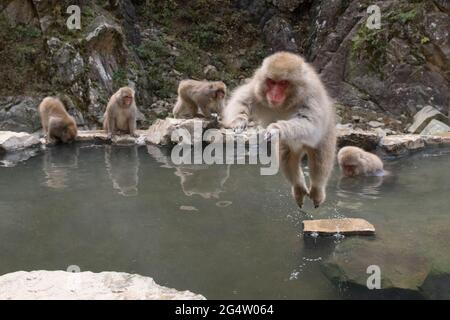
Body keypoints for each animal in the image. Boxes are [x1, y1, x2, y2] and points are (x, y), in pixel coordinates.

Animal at [223, 51, 336, 209]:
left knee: (321, 160)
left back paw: (317, 191)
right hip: (288, 144)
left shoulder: (310, 97)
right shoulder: (258, 89)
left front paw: (277, 128)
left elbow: (310, 124)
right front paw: (239, 120)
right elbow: (242, 100)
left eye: (283, 83)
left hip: (326, 134)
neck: (286, 103)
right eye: (271, 82)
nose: (274, 94)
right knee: (286, 157)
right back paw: (298, 188)